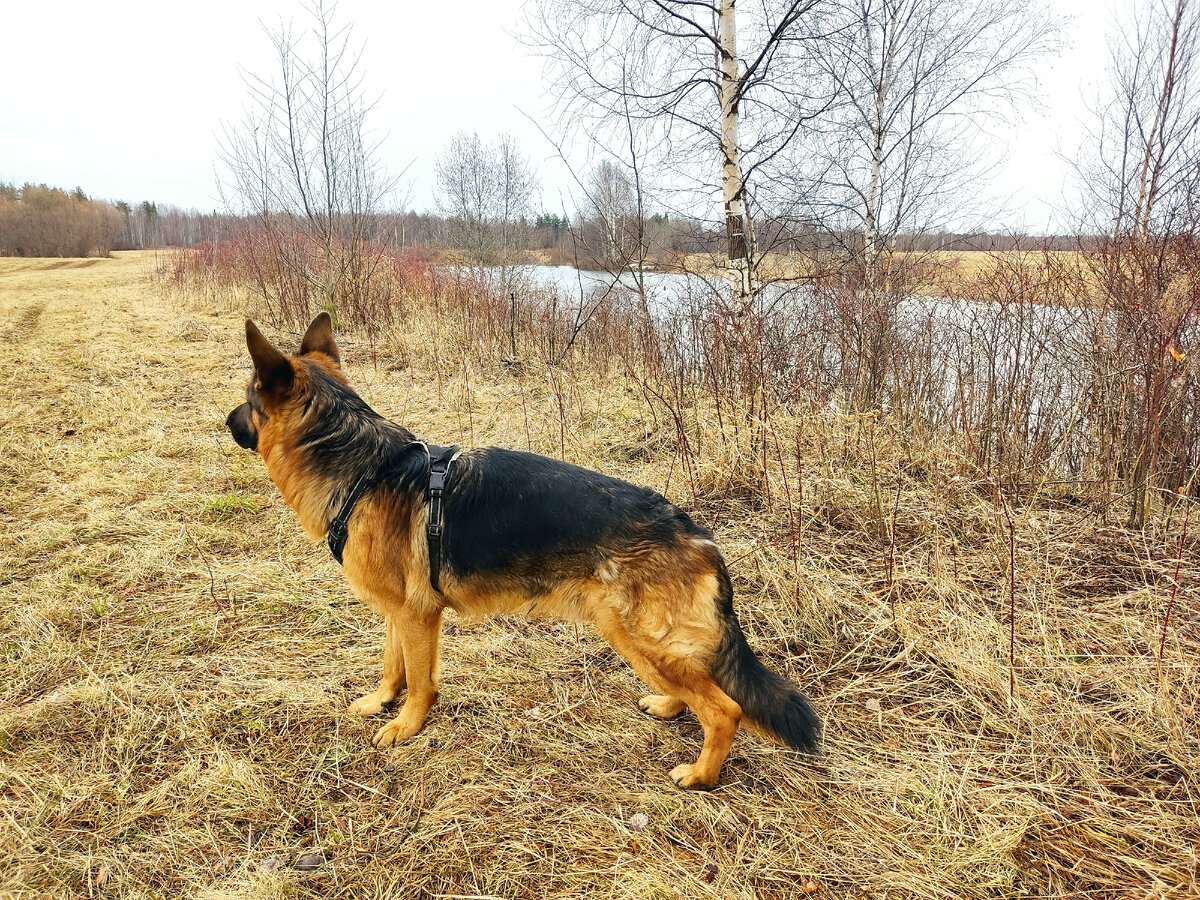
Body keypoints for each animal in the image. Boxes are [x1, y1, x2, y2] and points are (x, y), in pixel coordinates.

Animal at [225, 314, 820, 787]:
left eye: (249, 400)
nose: (225, 422)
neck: (363, 471)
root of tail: (695, 533)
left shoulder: (418, 616)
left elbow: (419, 681)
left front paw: (407, 726)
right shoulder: (398, 612)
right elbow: (392, 665)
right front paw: (379, 702)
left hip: (636, 635)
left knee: (724, 708)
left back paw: (701, 775)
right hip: (640, 639)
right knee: (692, 689)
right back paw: (670, 705)